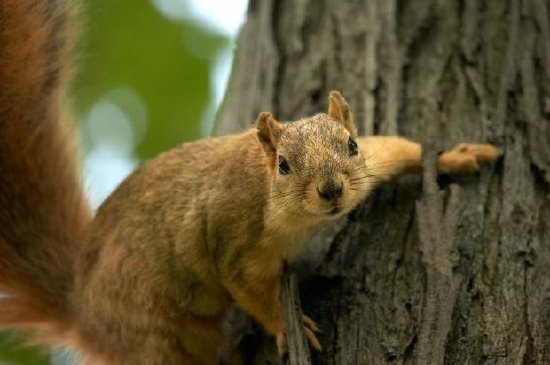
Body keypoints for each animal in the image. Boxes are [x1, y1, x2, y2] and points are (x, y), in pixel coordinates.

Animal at [0, 0, 502, 364]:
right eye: (283, 165)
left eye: (351, 145)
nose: (332, 191)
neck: (294, 215)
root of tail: (81, 309)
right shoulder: (235, 240)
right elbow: (251, 291)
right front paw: (287, 326)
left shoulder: (372, 162)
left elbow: (398, 148)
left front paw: (456, 155)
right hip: (157, 332)